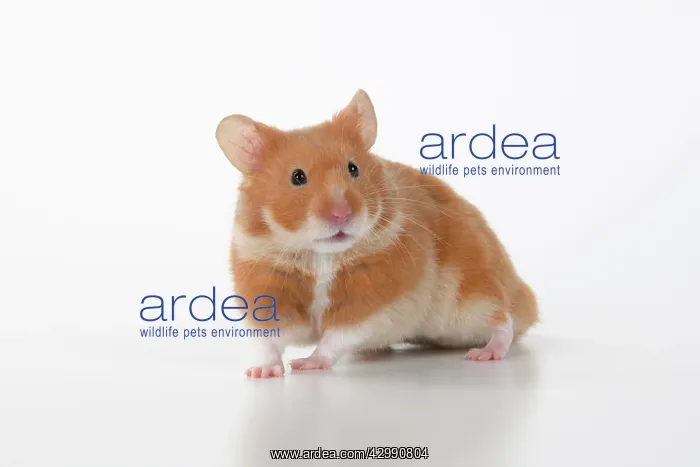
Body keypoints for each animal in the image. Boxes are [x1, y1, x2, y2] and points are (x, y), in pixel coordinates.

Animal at [215, 89, 538, 378]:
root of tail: (522, 293)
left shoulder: (373, 300)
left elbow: (335, 337)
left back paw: (484, 353)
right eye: (297, 177)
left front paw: (306, 363)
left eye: (353, 168)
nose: (342, 214)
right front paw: (259, 373)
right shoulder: (266, 286)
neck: (321, 255)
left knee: (503, 323)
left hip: (474, 297)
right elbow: (268, 341)